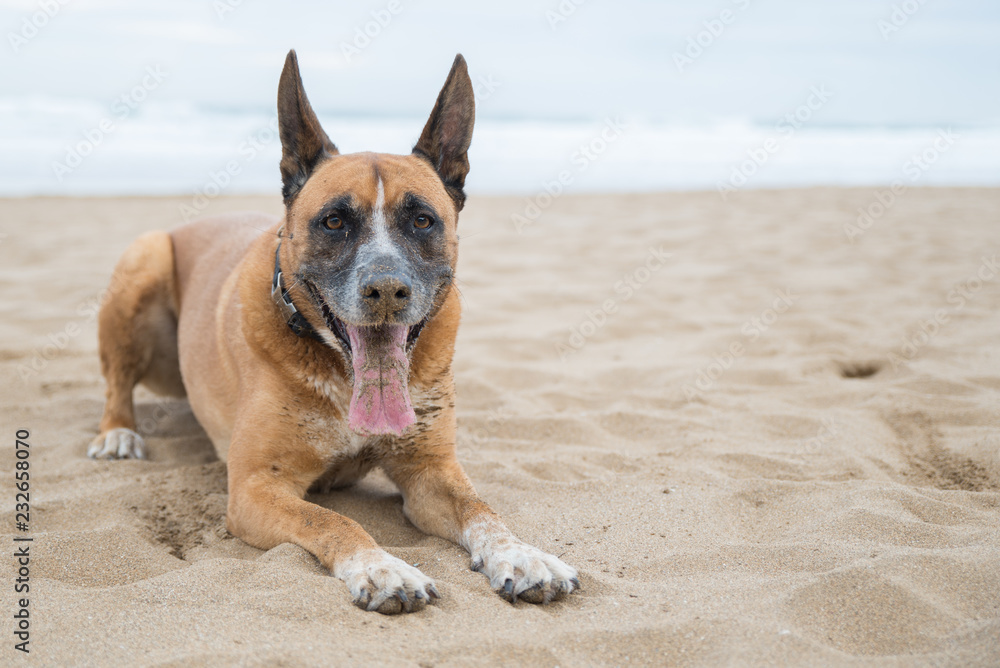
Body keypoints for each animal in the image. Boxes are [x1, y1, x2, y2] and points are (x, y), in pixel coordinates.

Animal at [90, 51, 584, 616]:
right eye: (333, 222)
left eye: (422, 220)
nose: (387, 290)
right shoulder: (256, 487)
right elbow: (331, 519)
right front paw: (382, 566)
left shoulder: (430, 472)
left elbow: (482, 510)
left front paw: (522, 554)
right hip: (145, 256)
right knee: (117, 382)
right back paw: (117, 433)